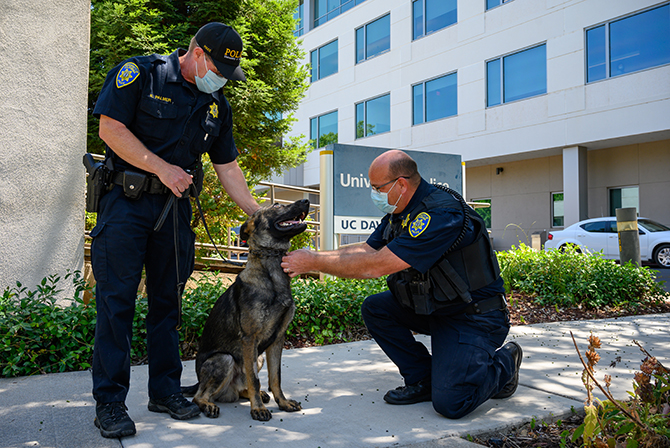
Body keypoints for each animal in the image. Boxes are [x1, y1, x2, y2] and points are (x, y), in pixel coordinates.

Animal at [182, 199, 312, 420]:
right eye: (277, 206)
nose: (306, 201)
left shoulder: (277, 339)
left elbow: (275, 377)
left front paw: (282, 403)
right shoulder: (250, 339)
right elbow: (255, 379)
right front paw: (257, 409)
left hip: (258, 357)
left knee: (243, 387)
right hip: (224, 359)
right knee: (199, 396)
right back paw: (208, 405)